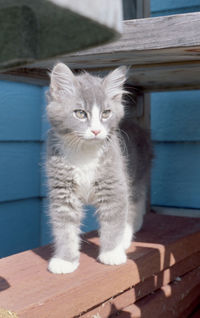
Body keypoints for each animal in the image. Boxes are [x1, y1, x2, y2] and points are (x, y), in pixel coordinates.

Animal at [45, 62, 152, 274]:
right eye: (80, 113)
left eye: (106, 113)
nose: (95, 130)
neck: (85, 153)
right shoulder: (63, 191)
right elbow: (65, 229)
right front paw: (65, 260)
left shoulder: (114, 185)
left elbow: (113, 223)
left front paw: (111, 253)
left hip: (136, 176)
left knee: (134, 205)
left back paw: (127, 234)